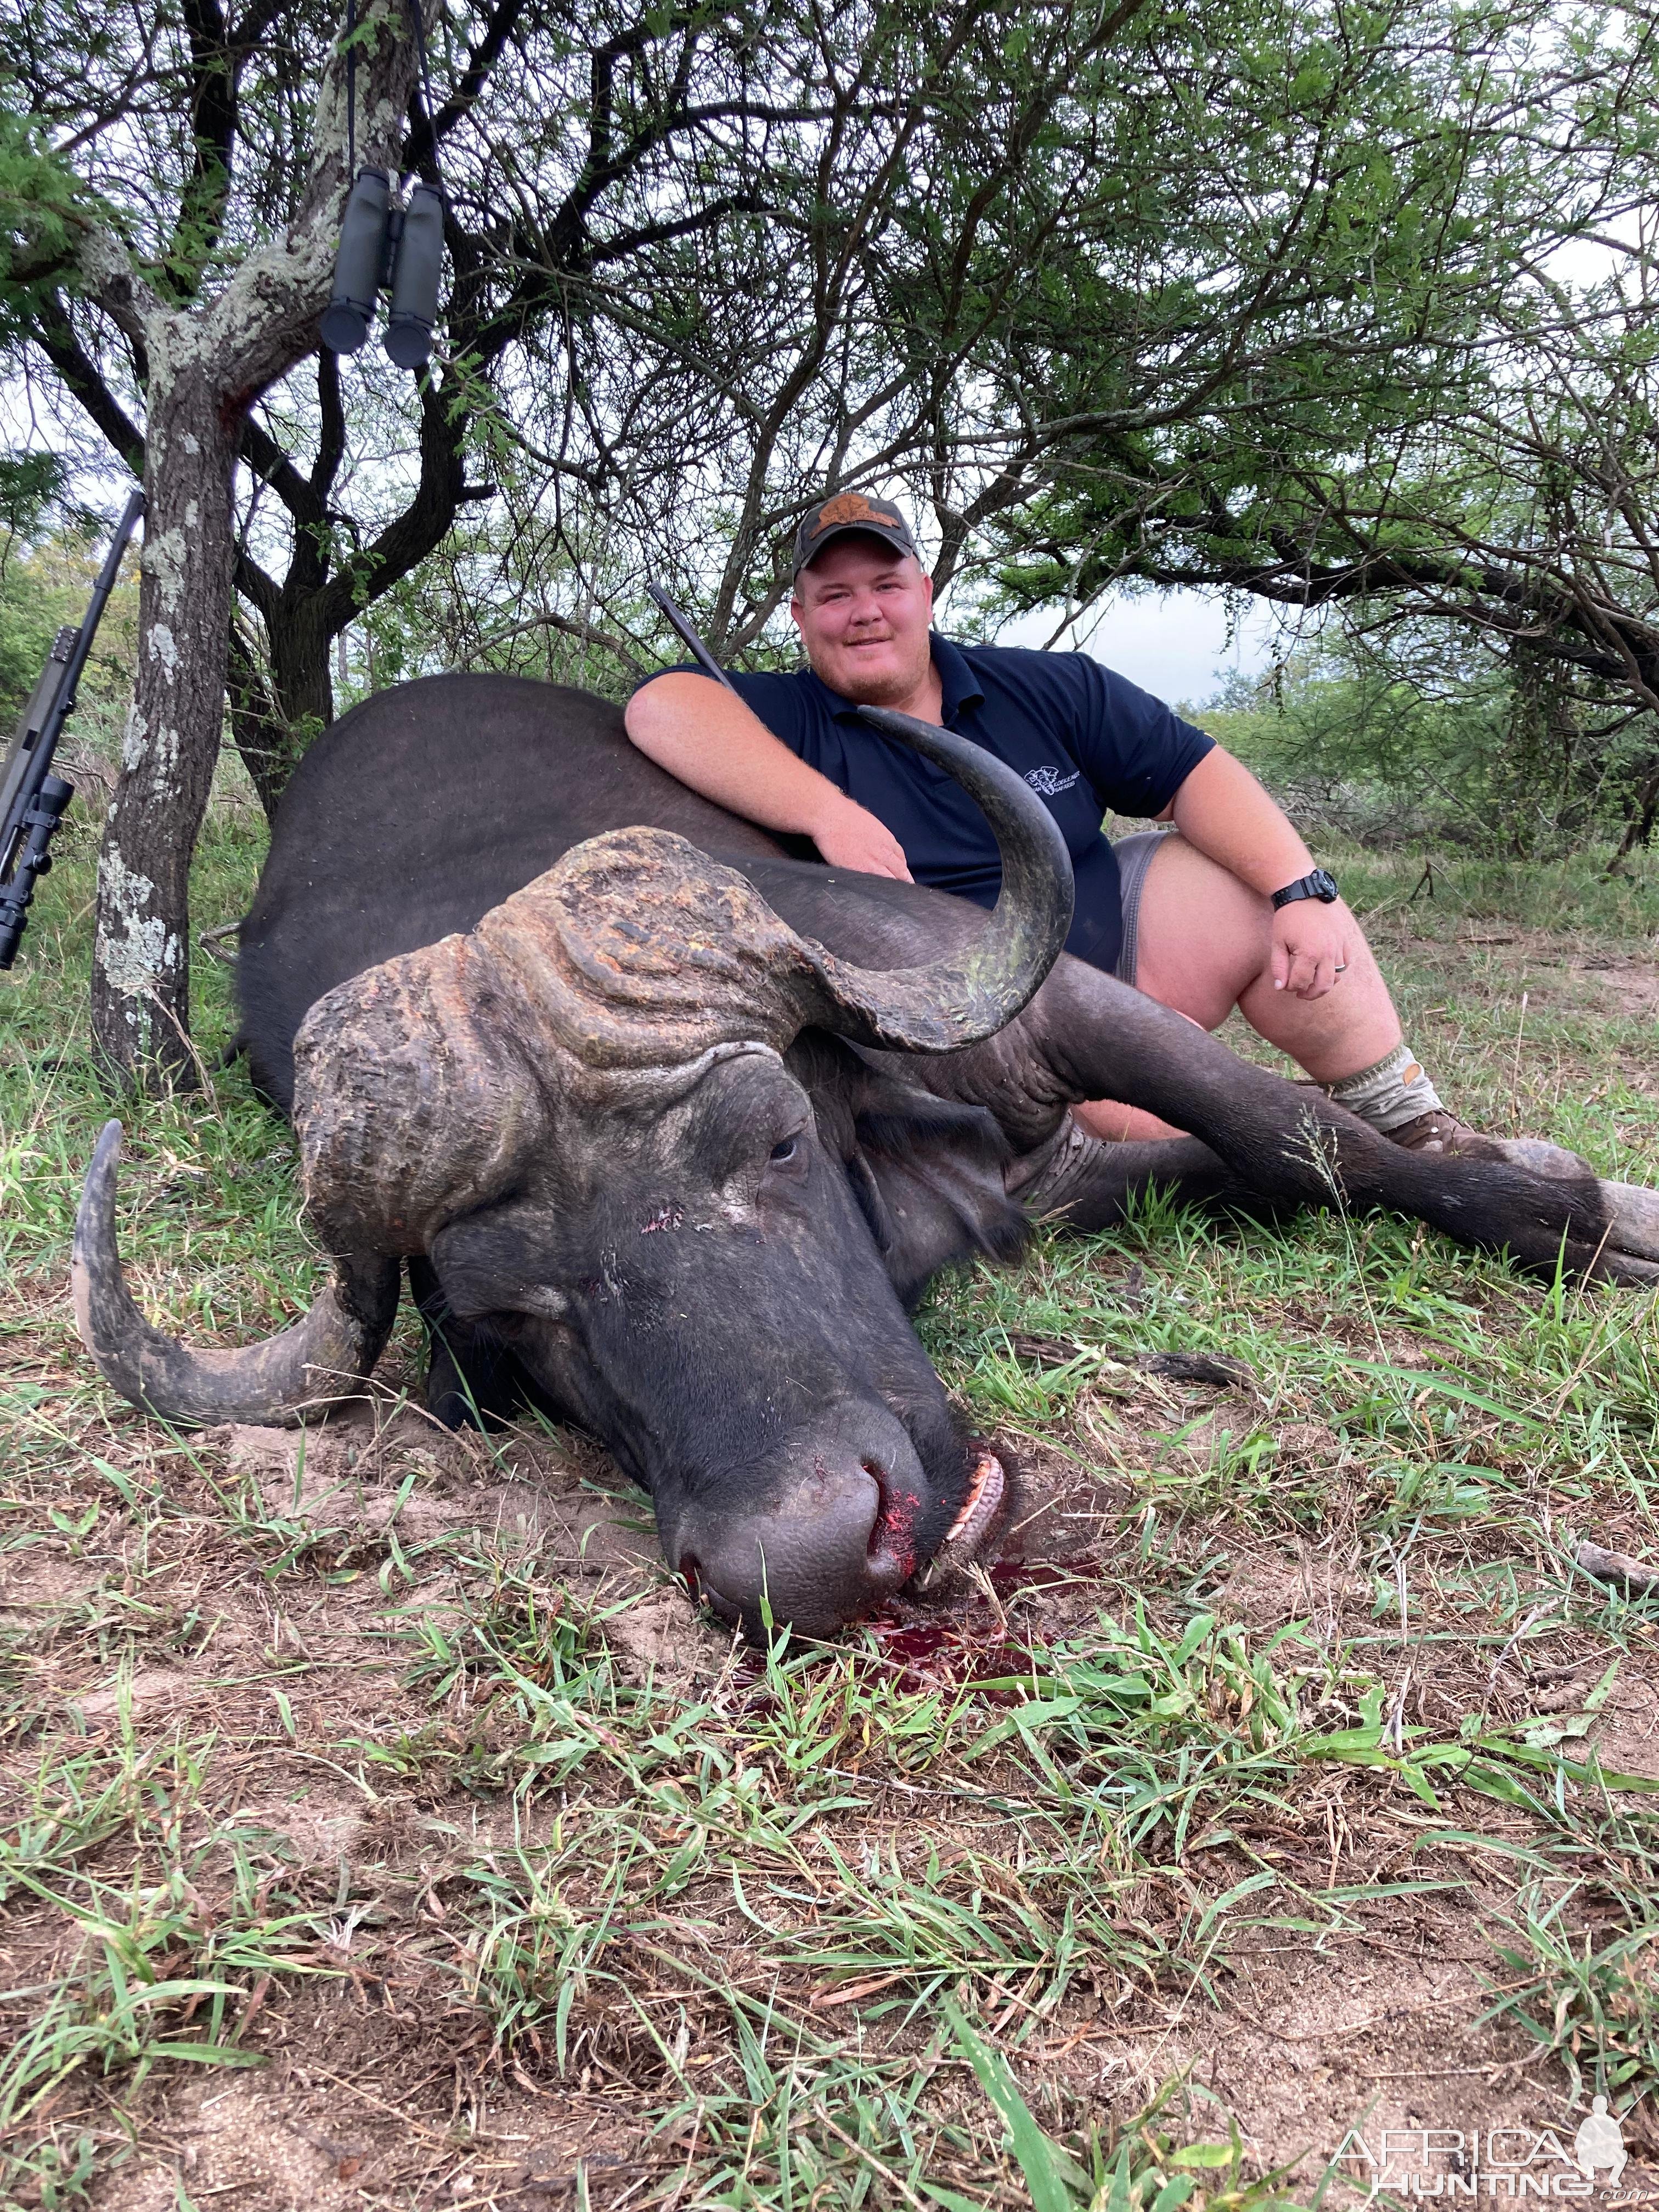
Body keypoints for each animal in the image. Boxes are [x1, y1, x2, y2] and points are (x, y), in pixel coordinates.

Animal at [75, 681, 1659, 1637]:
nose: (820, 1553)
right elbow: (1250, 1166)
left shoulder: (1055, 1005)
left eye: (776, 1142)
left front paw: (1577, 1209)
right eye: (509, 1316)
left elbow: (1301, 1137)